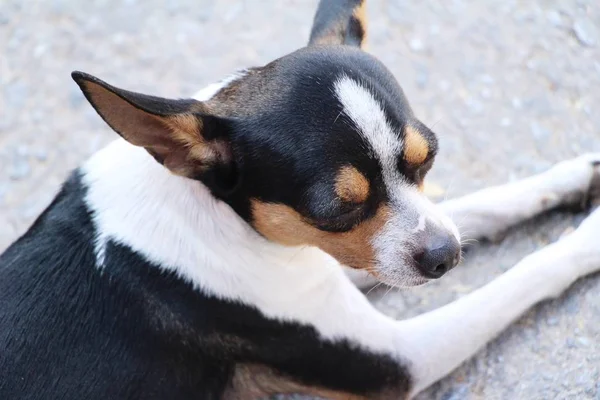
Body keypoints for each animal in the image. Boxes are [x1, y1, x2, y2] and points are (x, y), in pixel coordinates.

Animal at [1, 0, 600, 400]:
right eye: (336, 210)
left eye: (428, 158)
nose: (445, 257)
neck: (224, 215)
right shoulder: (399, 356)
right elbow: (525, 273)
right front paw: (588, 238)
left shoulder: (340, 262)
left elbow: (482, 205)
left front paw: (575, 177)